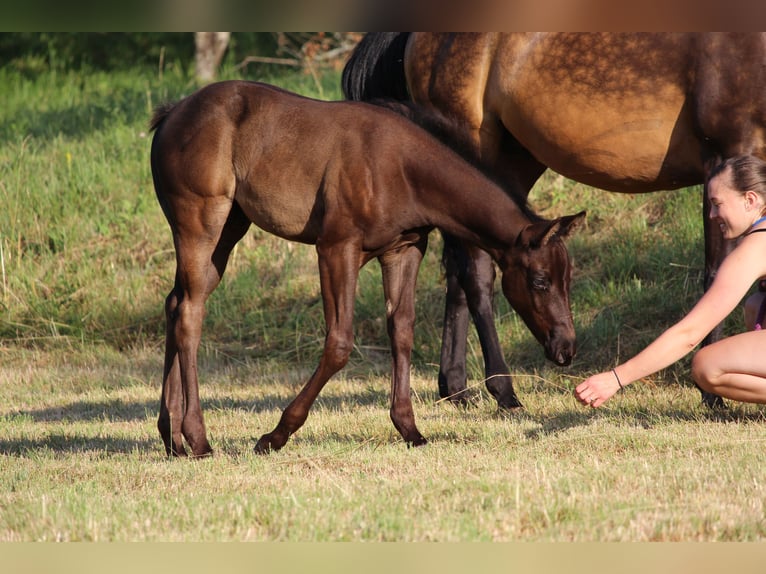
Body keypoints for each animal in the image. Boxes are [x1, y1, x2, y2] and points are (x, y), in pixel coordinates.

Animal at [149, 80, 585, 457]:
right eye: (540, 281)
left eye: (568, 280)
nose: (566, 348)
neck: (402, 167)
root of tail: (172, 114)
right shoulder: (336, 248)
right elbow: (340, 342)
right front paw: (275, 435)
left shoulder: (405, 250)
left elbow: (402, 332)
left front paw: (410, 428)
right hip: (201, 223)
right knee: (189, 312)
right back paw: (198, 438)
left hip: (230, 229)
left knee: (175, 303)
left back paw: (171, 438)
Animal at [343, 32, 766, 409]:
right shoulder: (724, 157)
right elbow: (716, 275)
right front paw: (711, 397)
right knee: (476, 272)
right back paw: (503, 390)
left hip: (513, 160)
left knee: (460, 269)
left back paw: (457, 388)